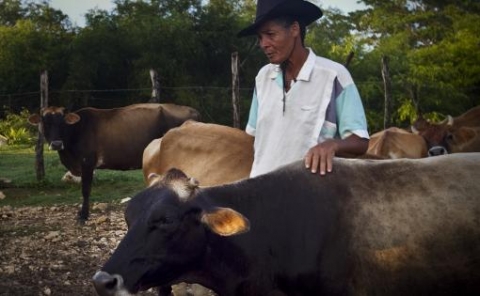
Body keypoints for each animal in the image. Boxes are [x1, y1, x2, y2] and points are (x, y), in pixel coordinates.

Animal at [28, 103, 201, 221]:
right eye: (44, 121)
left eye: (62, 122)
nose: (56, 143)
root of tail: (194, 112)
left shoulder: (87, 162)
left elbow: (85, 190)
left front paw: (83, 215)